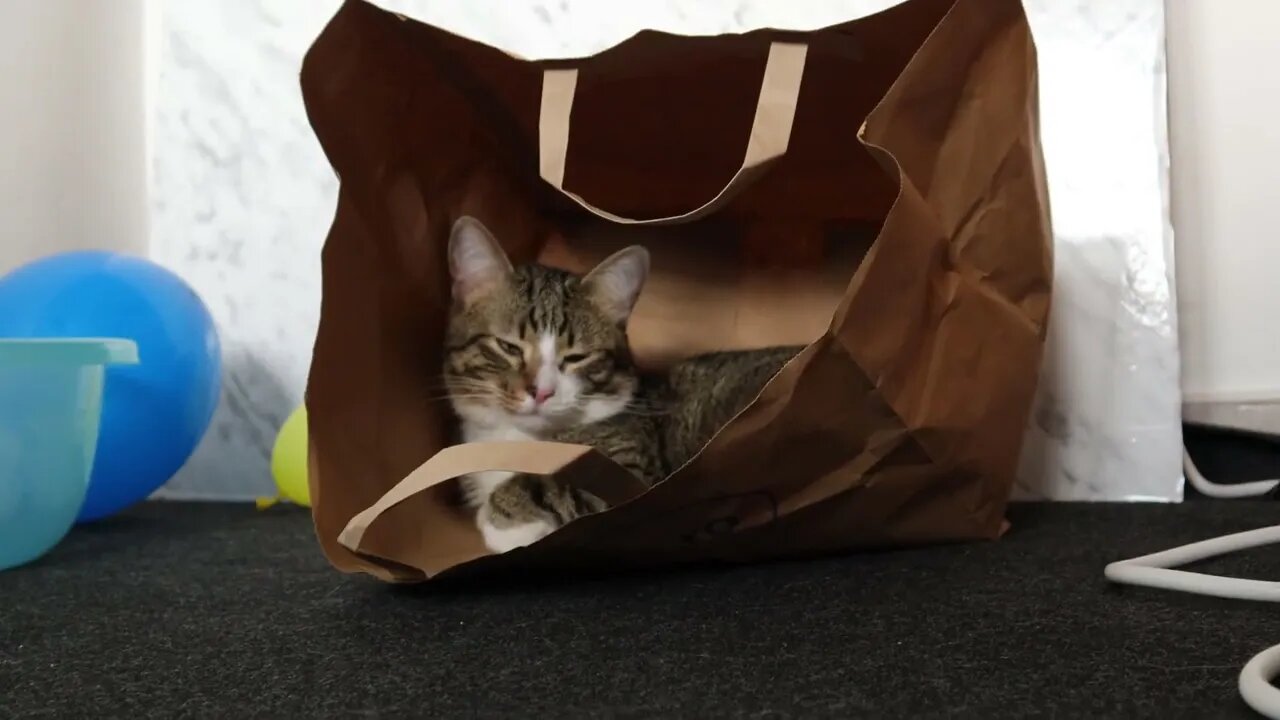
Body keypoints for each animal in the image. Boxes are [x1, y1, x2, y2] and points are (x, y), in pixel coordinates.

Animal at [445, 213, 793, 548]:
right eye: (508, 347)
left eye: (576, 357)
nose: (541, 392)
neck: (517, 440)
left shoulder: (635, 470)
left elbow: (562, 481)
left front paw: (498, 518)